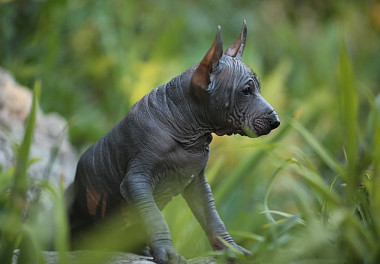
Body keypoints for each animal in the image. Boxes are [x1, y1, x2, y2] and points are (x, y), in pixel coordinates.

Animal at [67, 21, 280, 264]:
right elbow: (154, 216)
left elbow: (212, 218)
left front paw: (230, 249)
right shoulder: (136, 181)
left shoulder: (197, 184)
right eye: (246, 90)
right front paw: (167, 252)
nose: (276, 122)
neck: (188, 133)